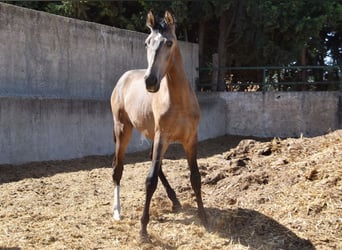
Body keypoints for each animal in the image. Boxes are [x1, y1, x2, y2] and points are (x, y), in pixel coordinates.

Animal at [111, 9, 207, 239]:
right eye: (147, 43)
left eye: (169, 43)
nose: (150, 81)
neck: (179, 101)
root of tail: (123, 78)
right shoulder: (162, 136)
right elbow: (150, 179)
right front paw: (143, 228)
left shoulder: (190, 139)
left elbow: (195, 177)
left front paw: (204, 217)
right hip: (123, 130)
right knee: (117, 169)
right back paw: (117, 212)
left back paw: (175, 200)